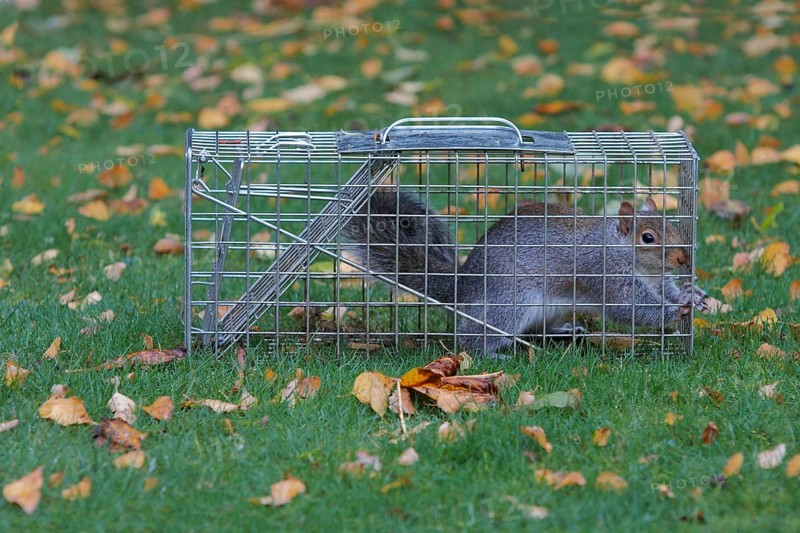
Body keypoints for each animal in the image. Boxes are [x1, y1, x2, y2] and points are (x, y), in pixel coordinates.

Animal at [343, 191, 708, 356]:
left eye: (672, 226)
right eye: (647, 238)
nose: (682, 258)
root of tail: (464, 287)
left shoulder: (659, 279)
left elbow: (667, 291)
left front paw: (694, 295)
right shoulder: (604, 272)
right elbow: (631, 307)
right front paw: (676, 309)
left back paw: (565, 331)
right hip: (509, 303)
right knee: (471, 339)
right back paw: (493, 352)